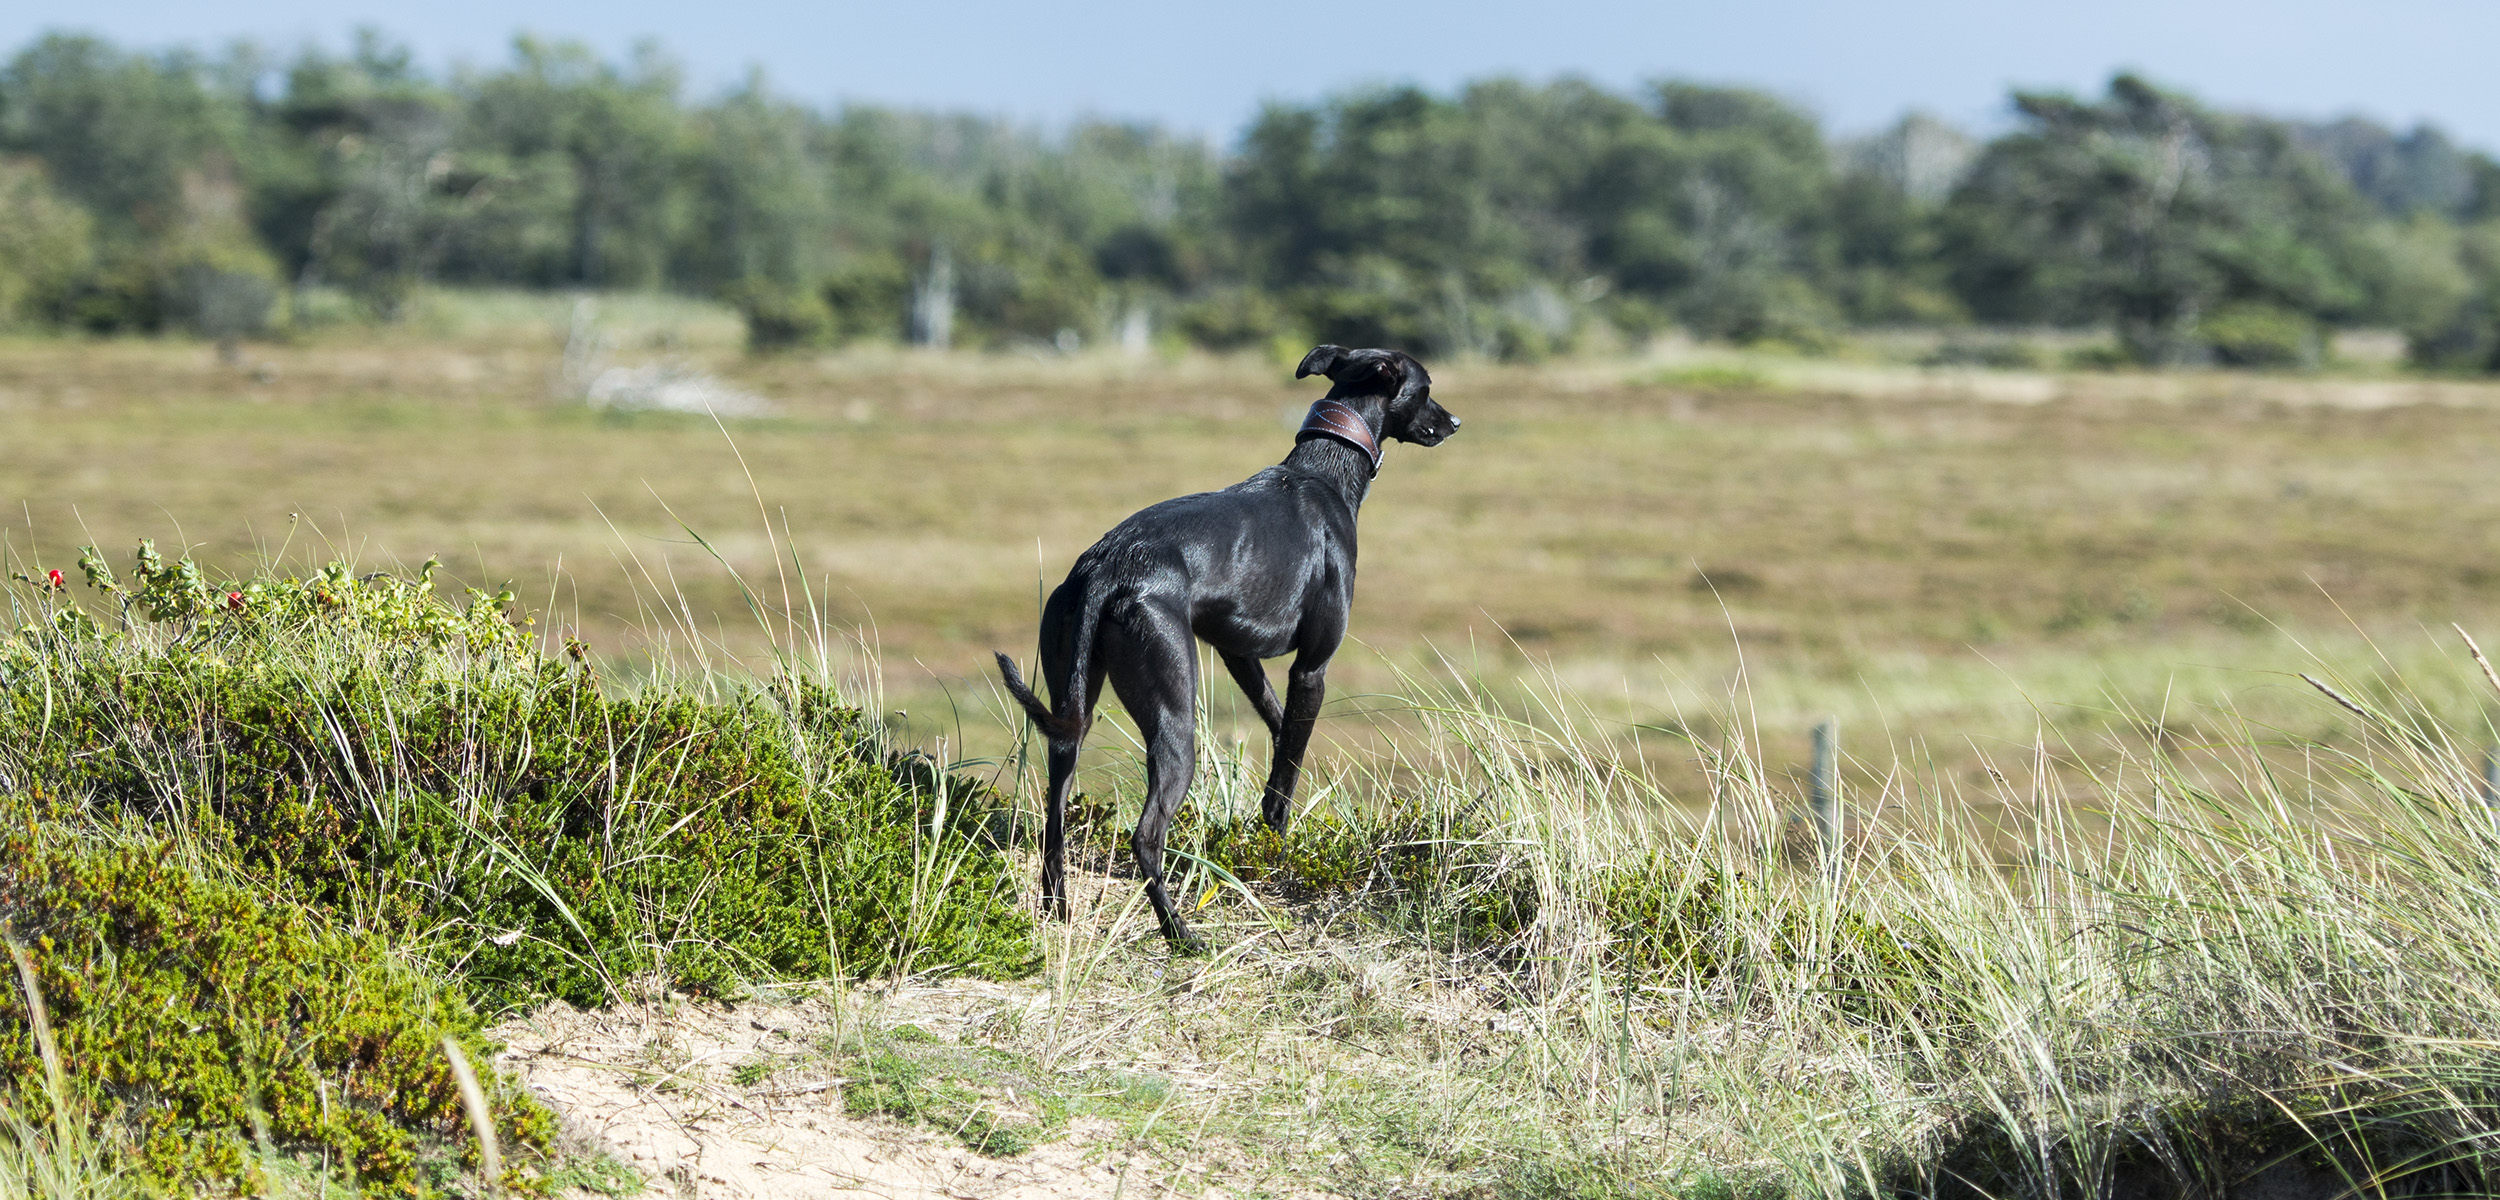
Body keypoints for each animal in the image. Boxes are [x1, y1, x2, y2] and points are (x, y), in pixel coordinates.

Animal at [995, 345, 1462, 946]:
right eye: (1426, 389)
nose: (1455, 422)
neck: (1325, 469)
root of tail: (1105, 566)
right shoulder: (1312, 668)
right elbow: (1288, 767)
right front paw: (1276, 841)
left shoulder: (1239, 650)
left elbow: (1281, 731)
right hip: (1174, 718)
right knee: (1146, 835)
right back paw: (1178, 931)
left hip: (1069, 712)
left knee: (1054, 814)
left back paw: (1059, 909)